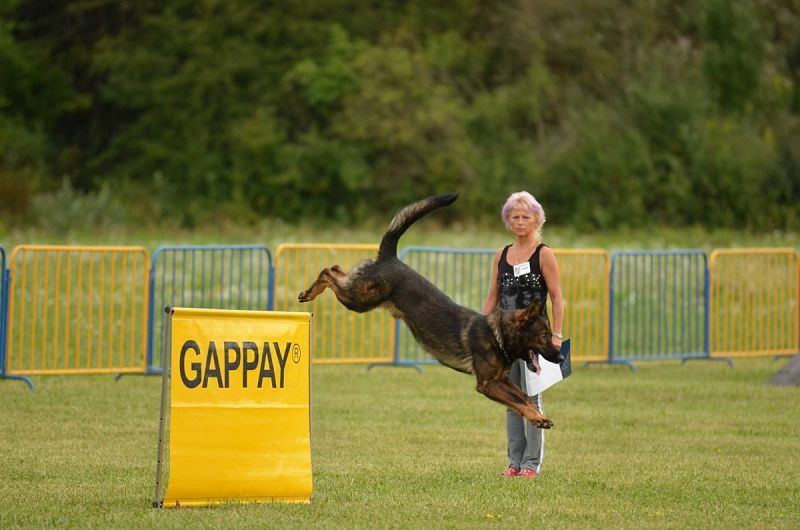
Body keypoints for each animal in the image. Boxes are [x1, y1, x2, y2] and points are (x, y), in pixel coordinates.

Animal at [296, 192, 564, 426]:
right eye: (543, 336)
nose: (561, 357)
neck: (497, 334)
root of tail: (390, 257)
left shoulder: (500, 380)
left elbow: (524, 398)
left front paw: (538, 417)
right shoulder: (488, 384)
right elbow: (519, 401)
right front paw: (537, 418)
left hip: (359, 294)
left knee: (337, 269)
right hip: (359, 300)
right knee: (328, 272)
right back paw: (308, 293)